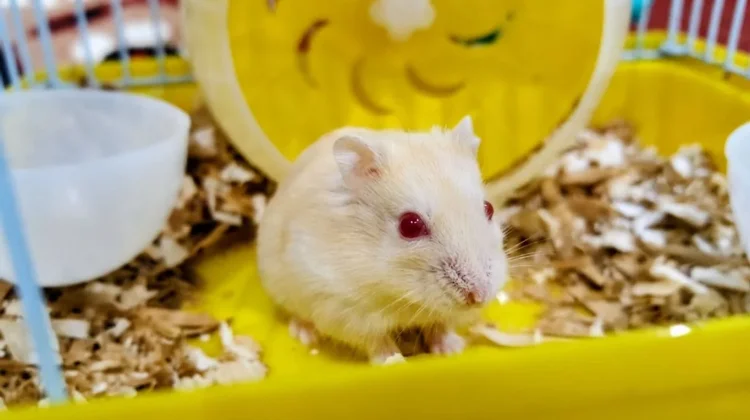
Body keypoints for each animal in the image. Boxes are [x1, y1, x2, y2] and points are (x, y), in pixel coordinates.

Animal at [256, 116, 508, 364]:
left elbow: (440, 326)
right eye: (410, 225)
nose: (478, 297)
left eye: (489, 208)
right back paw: (305, 334)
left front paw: (453, 350)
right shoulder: (343, 309)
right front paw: (393, 361)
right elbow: (376, 341)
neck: (401, 293)